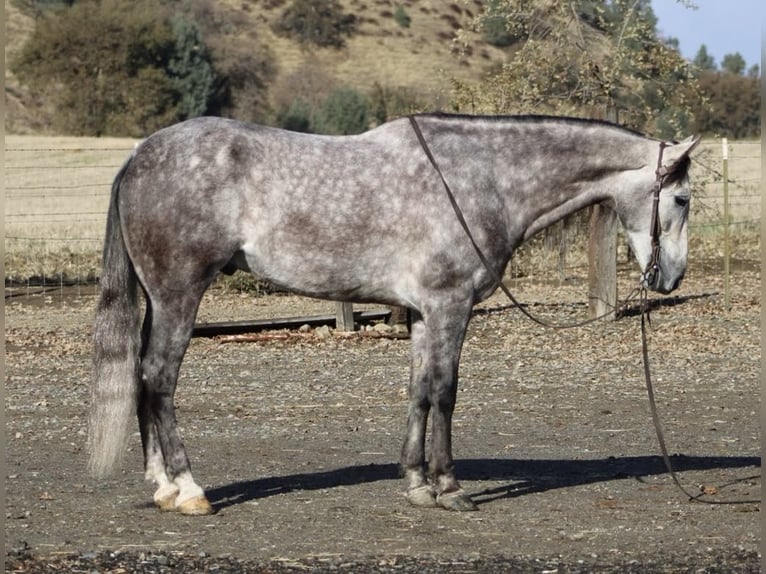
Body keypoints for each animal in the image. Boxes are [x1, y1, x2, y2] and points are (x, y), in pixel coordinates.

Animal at [88, 113, 699, 515]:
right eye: (683, 198)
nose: (671, 278)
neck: (482, 176)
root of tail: (138, 155)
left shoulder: (425, 312)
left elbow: (420, 391)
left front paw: (417, 482)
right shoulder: (451, 306)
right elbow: (447, 392)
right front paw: (450, 488)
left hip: (157, 299)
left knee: (143, 378)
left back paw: (163, 485)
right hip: (179, 294)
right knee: (160, 379)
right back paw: (190, 491)